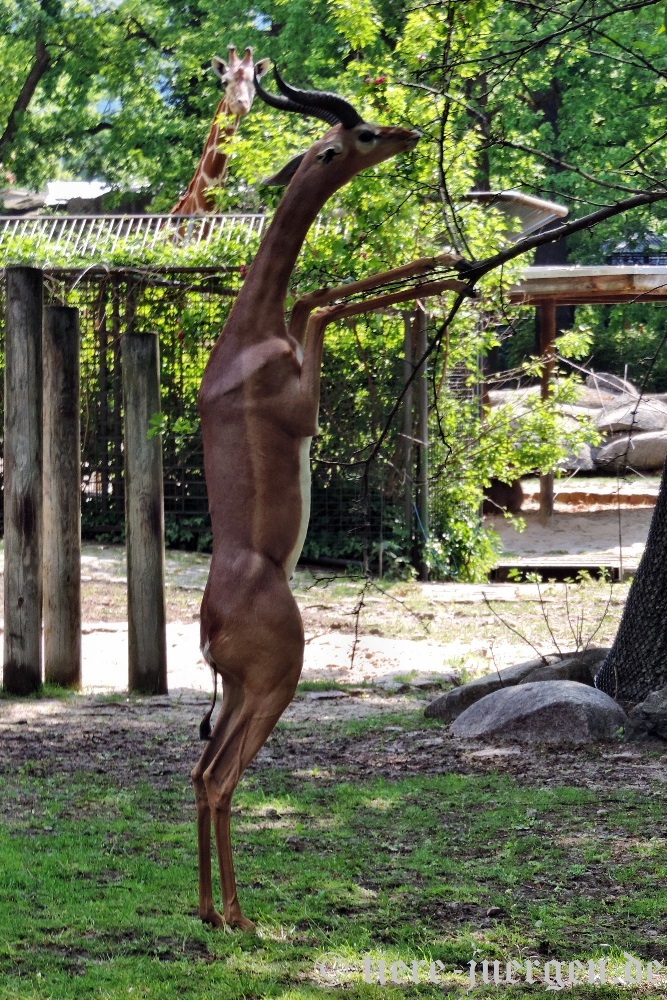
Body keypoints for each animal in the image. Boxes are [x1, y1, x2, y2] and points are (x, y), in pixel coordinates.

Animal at [190, 68, 420, 928]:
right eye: (358, 135)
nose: (406, 135)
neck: (245, 336)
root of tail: (211, 631)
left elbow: (315, 291)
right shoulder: (304, 406)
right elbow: (320, 301)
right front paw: (440, 266)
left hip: (236, 693)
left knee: (198, 775)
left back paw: (209, 911)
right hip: (275, 683)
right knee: (221, 777)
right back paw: (239, 916)